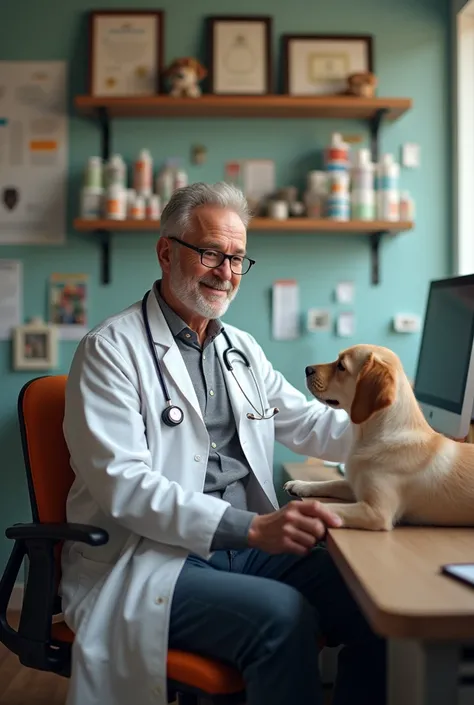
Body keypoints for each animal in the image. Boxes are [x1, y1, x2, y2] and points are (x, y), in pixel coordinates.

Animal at [284, 344, 474, 532]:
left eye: (341, 366)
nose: (307, 369)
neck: (369, 436)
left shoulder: (376, 512)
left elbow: (327, 506)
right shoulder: (355, 485)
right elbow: (332, 482)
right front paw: (301, 485)